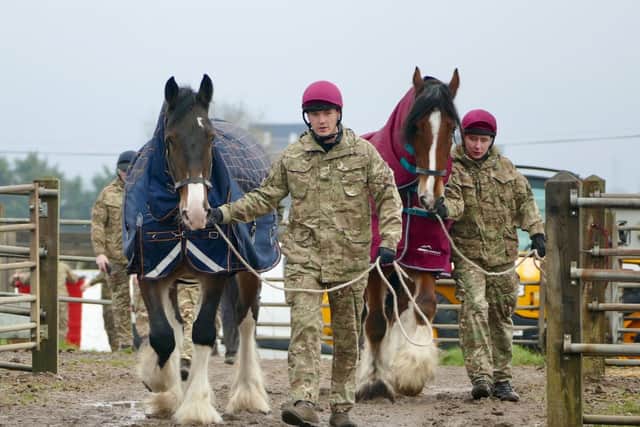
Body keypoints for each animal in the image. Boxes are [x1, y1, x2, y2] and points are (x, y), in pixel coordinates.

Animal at [123, 75, 280, 424]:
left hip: (249, 271)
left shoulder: (215, 272)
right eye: (170, 140)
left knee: (246, 321)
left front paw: (195, 406)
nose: (197, 211)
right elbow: (163, 335)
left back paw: (248, 394)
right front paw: (161, 387)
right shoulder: (152, 271)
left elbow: (204, 332)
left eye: (210, 138)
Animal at [356, 67, 460, 401]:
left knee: (399, 310)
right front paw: (373, 381)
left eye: (451, 126)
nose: (431, 198)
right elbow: (375, 321)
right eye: (416, 126)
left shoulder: (423, 255)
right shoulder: (378, 261)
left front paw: (412, 369)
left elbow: (425, 306)